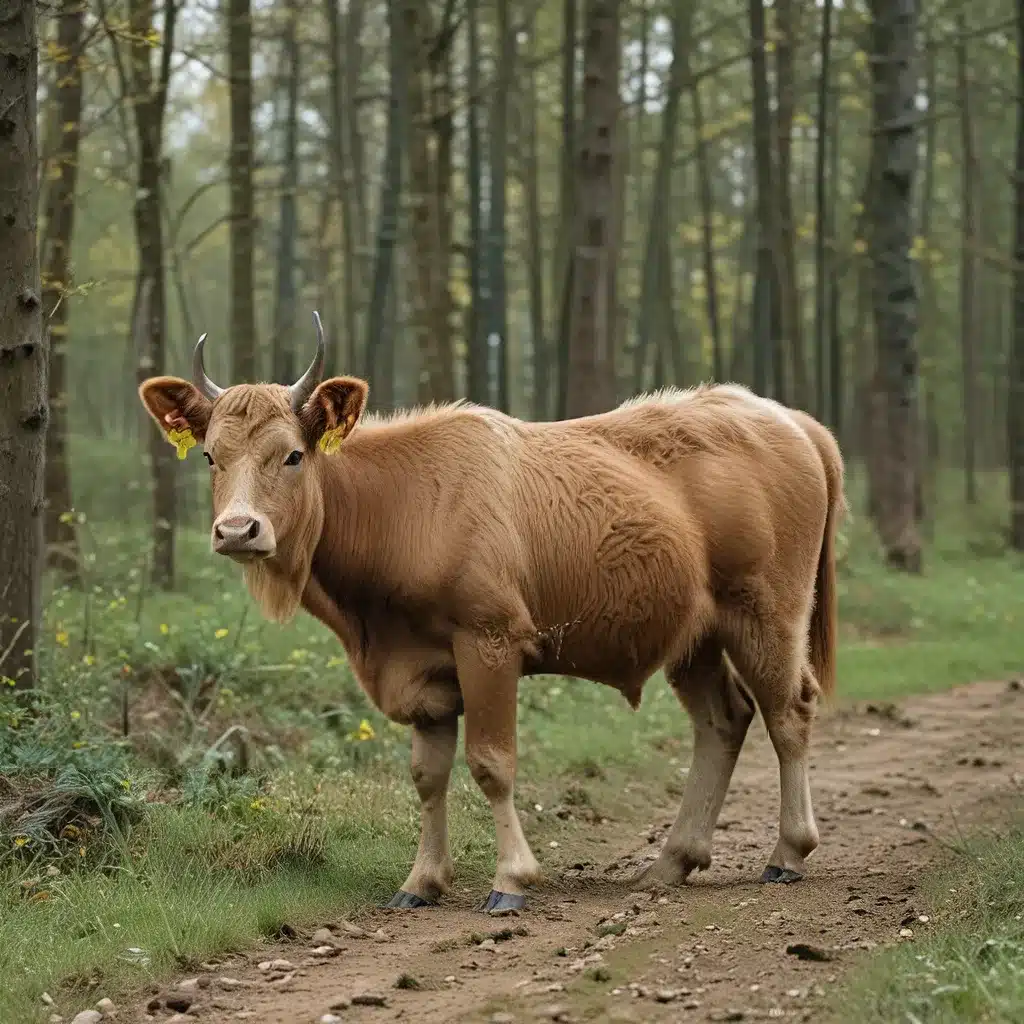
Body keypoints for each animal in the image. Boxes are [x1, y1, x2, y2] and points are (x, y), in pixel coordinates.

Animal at [142, 309, 847, 913]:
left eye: (291, 454)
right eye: (210, 455)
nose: (238, 530)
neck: (402, 506)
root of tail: (789, 420)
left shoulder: (489, 643)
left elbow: (491, 762)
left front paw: (511, 880)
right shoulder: (421, 672)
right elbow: (428, 775)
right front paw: (421, 882)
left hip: (766, 616)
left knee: (788, 712)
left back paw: (787, 853)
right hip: (693, 637)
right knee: (723, 720)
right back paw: (672, 861)